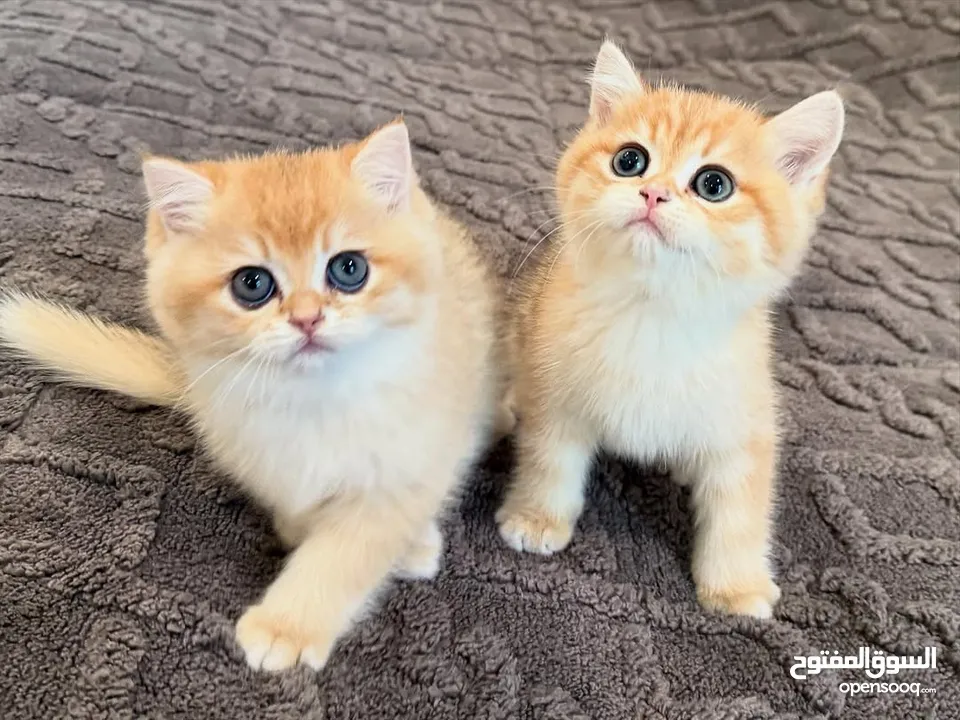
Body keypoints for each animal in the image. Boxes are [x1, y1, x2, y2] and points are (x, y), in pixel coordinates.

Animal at [0, 122, 510, 668]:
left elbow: (346, 551)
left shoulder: (405, 465)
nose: (307, 319)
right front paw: (297, 538)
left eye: (349, 269)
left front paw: (288, 624)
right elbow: (301, 512)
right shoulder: (263, 458)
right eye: (252, 283)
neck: (312, 397)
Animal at [498, 40, 844, 620]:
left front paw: (736, 585)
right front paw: (538, 516)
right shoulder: (555, 391)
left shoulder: (745, 419)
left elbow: (741, 510)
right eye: (629, 160)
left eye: (714, 184)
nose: (653, 194)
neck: (653, 314)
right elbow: (550, 461)